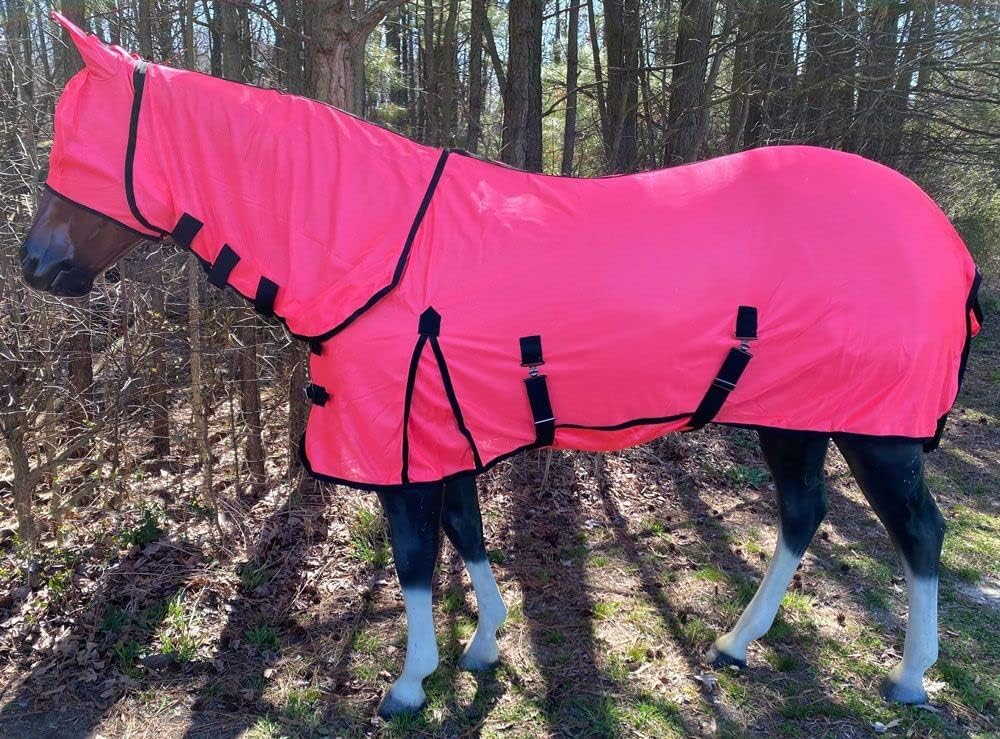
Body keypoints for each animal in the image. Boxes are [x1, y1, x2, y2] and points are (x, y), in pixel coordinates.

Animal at [20, 13, 982, 718]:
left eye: (79, 145)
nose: (34, 264)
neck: (368, 241)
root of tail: (948, 241)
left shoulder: (402, 445)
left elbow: (415, 558)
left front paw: (411, 681)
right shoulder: (442, 434)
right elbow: (467, 533)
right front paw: (484, 644)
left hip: (878, 430)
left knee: (920, 535)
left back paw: (908, 676)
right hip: (796, 414)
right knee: (802, 515)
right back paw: (737, 642)